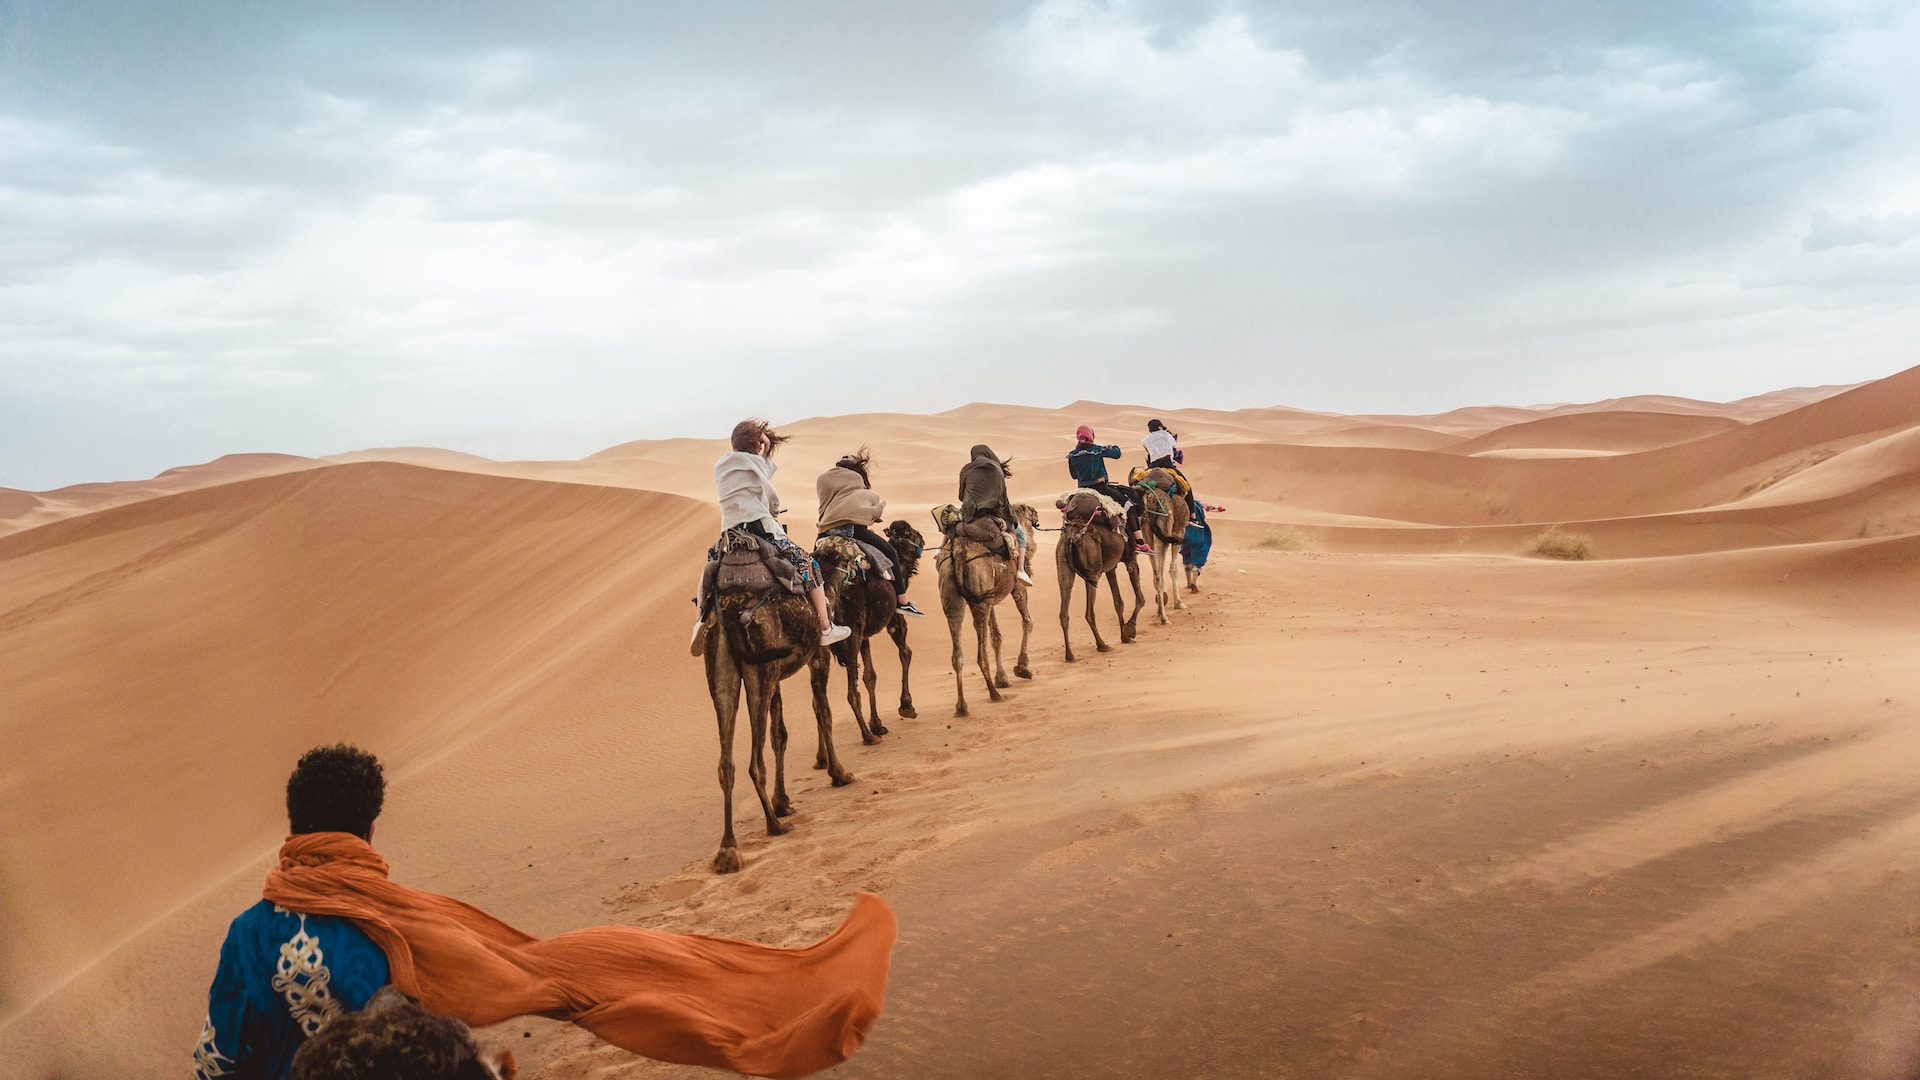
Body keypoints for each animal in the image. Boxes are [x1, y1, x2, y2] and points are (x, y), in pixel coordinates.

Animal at [691, 530, 840, 876]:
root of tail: (732, 611)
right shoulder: (819, 655)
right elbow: (823, 712)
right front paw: (839, 773)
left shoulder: (776, 677)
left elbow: (779, 735)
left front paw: (783, 801)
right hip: (759, 672)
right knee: (753, 761)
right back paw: (773, 825)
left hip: (723, 669)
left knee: (726, 762)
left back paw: (728, 850)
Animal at [810, 511, 929, 749]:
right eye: (910, 532)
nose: (922, 538)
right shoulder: (894, 618)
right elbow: (906, 653)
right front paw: (906, 706)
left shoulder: (864, 633)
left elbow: (870, 675)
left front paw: (878, 724)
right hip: (850, 636)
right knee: (851, 693)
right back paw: (867, 736)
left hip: (823, 647)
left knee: (818, 700)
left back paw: (822, 754)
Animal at [933, 503, 1036, 714]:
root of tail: (959, 555)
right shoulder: (1017, 587)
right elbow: (1027, 621)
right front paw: (1022, 667)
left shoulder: (990, 598)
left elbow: (996, 635)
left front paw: (1002, 679)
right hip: (979, 602)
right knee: (981, 654)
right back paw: (995, 695)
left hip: (956, 598)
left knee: (957, 653)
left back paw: (962, 706)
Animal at [1052, 488, 1136, 657]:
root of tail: (1072, 536)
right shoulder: (1131, 560)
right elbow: (1140, 597)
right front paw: (1130, 629)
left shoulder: (1111, 568)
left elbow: (1118, 602)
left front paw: (1124, 635)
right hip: (1092, 573)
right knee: (1089, 613)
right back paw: (1102, 645)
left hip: (1063, 569)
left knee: (1064, 612)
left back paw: (1069, 655)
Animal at [1128, 466, 1190, 626]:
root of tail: (1150, 499)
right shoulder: (1178, 533)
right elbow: (1173, 568)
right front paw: (1179, 603)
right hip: (1164, 534)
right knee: (1160, 576)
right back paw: (1164, 618)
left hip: (1146, 534)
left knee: (1156, 577)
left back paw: (1160, 614)